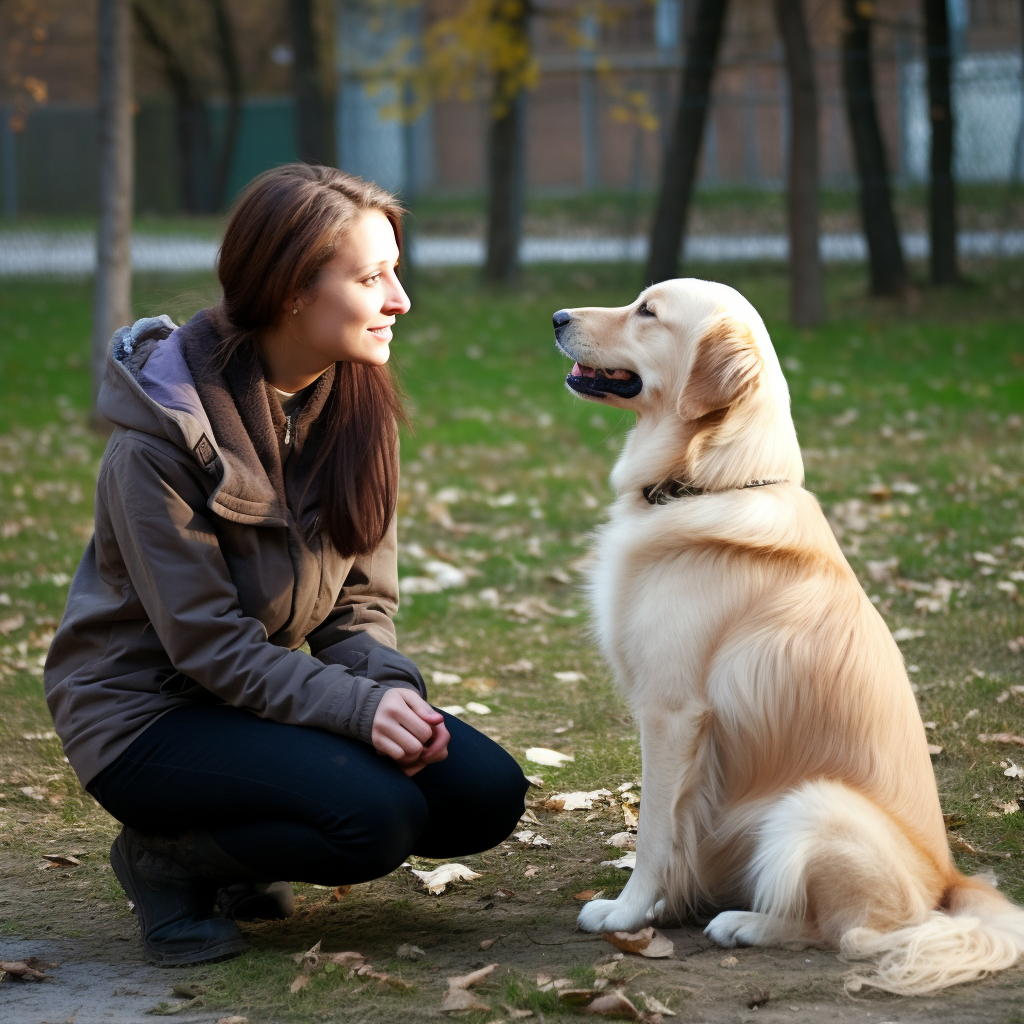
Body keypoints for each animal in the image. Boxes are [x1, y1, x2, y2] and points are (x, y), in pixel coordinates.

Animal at [557, 278, 1024, 991]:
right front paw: (665, 907)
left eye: (648, 312)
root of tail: (951, 880)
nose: (556, 318)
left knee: (855, 933)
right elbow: (677, 834)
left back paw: (745, 924)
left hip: (808, 806)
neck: (708, 481)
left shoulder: (671, 713)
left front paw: (629, 912)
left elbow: (654, 833)